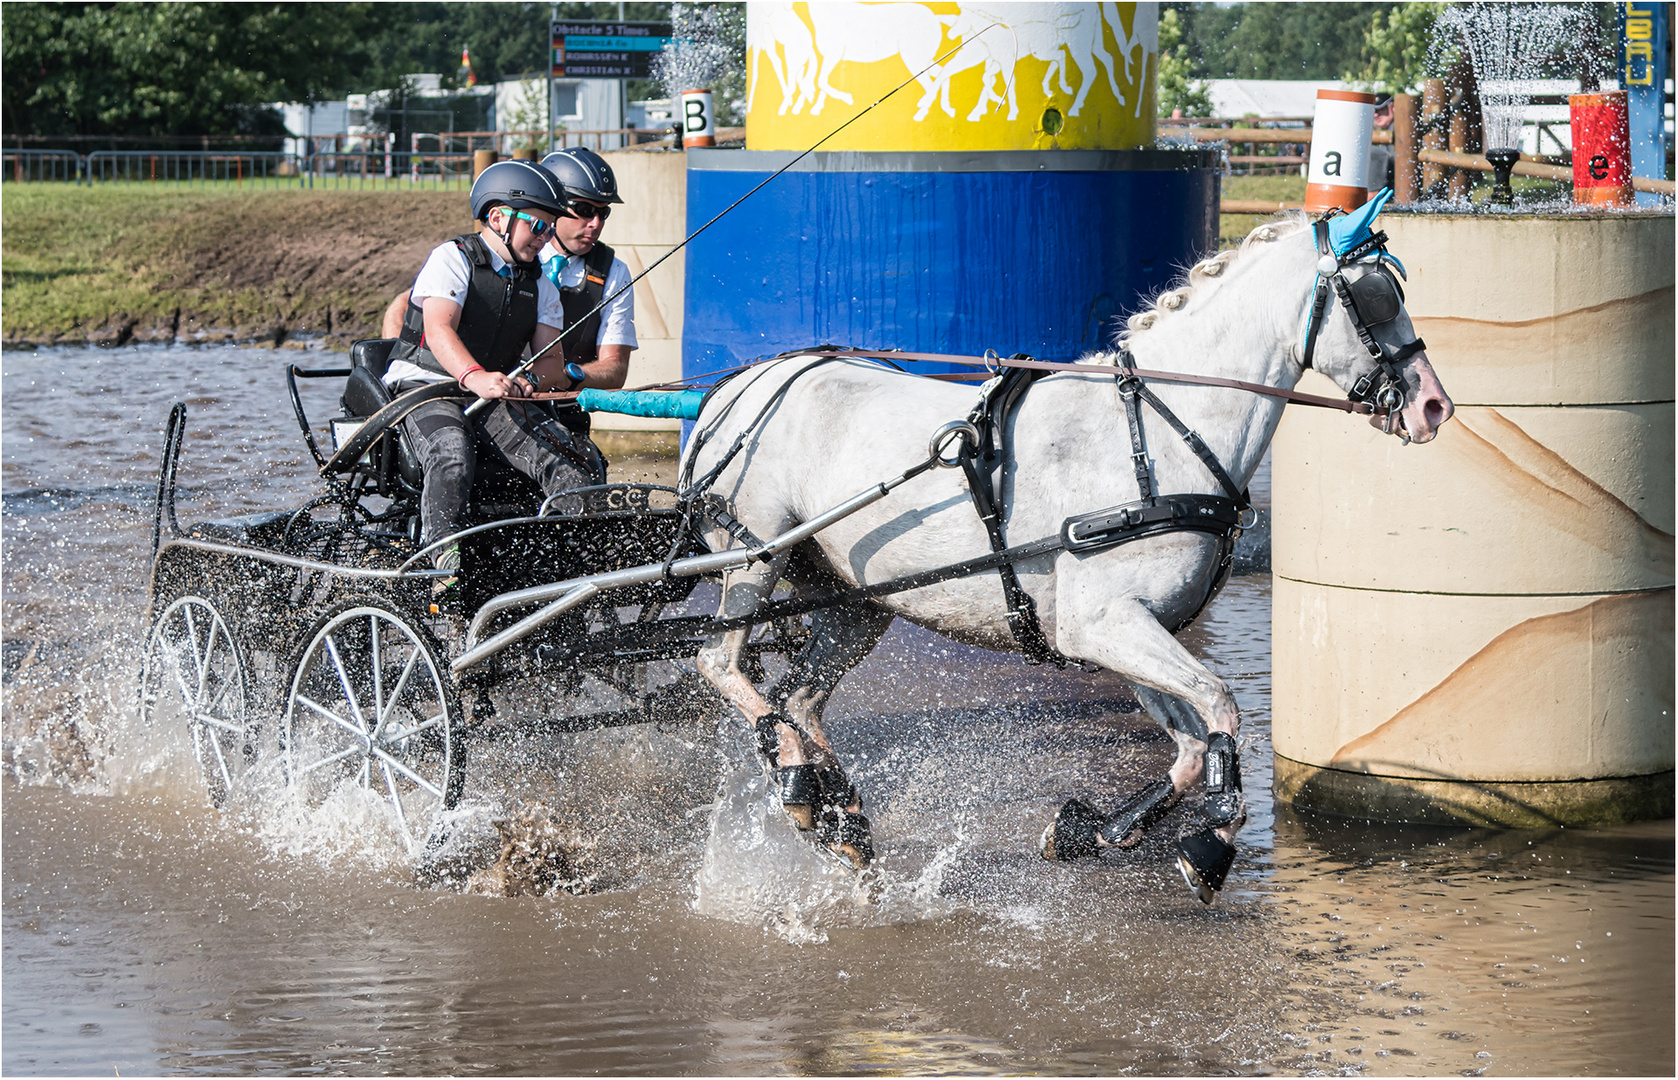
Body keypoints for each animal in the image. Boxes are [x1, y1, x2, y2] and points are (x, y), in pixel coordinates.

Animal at [681, 204, 1456, 905]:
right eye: (1377, 296)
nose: (1434, 407)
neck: (1158, 434)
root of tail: (732, 388)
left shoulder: (1127, 628)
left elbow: (1190, 747)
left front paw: (1095, 829)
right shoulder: (1104, 623)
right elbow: (1222, 709)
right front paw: (1211, 843)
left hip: (857, 601)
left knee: (798, 699)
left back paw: (840, 818)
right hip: (753, 558)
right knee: (722, 666)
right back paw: (796, 781)